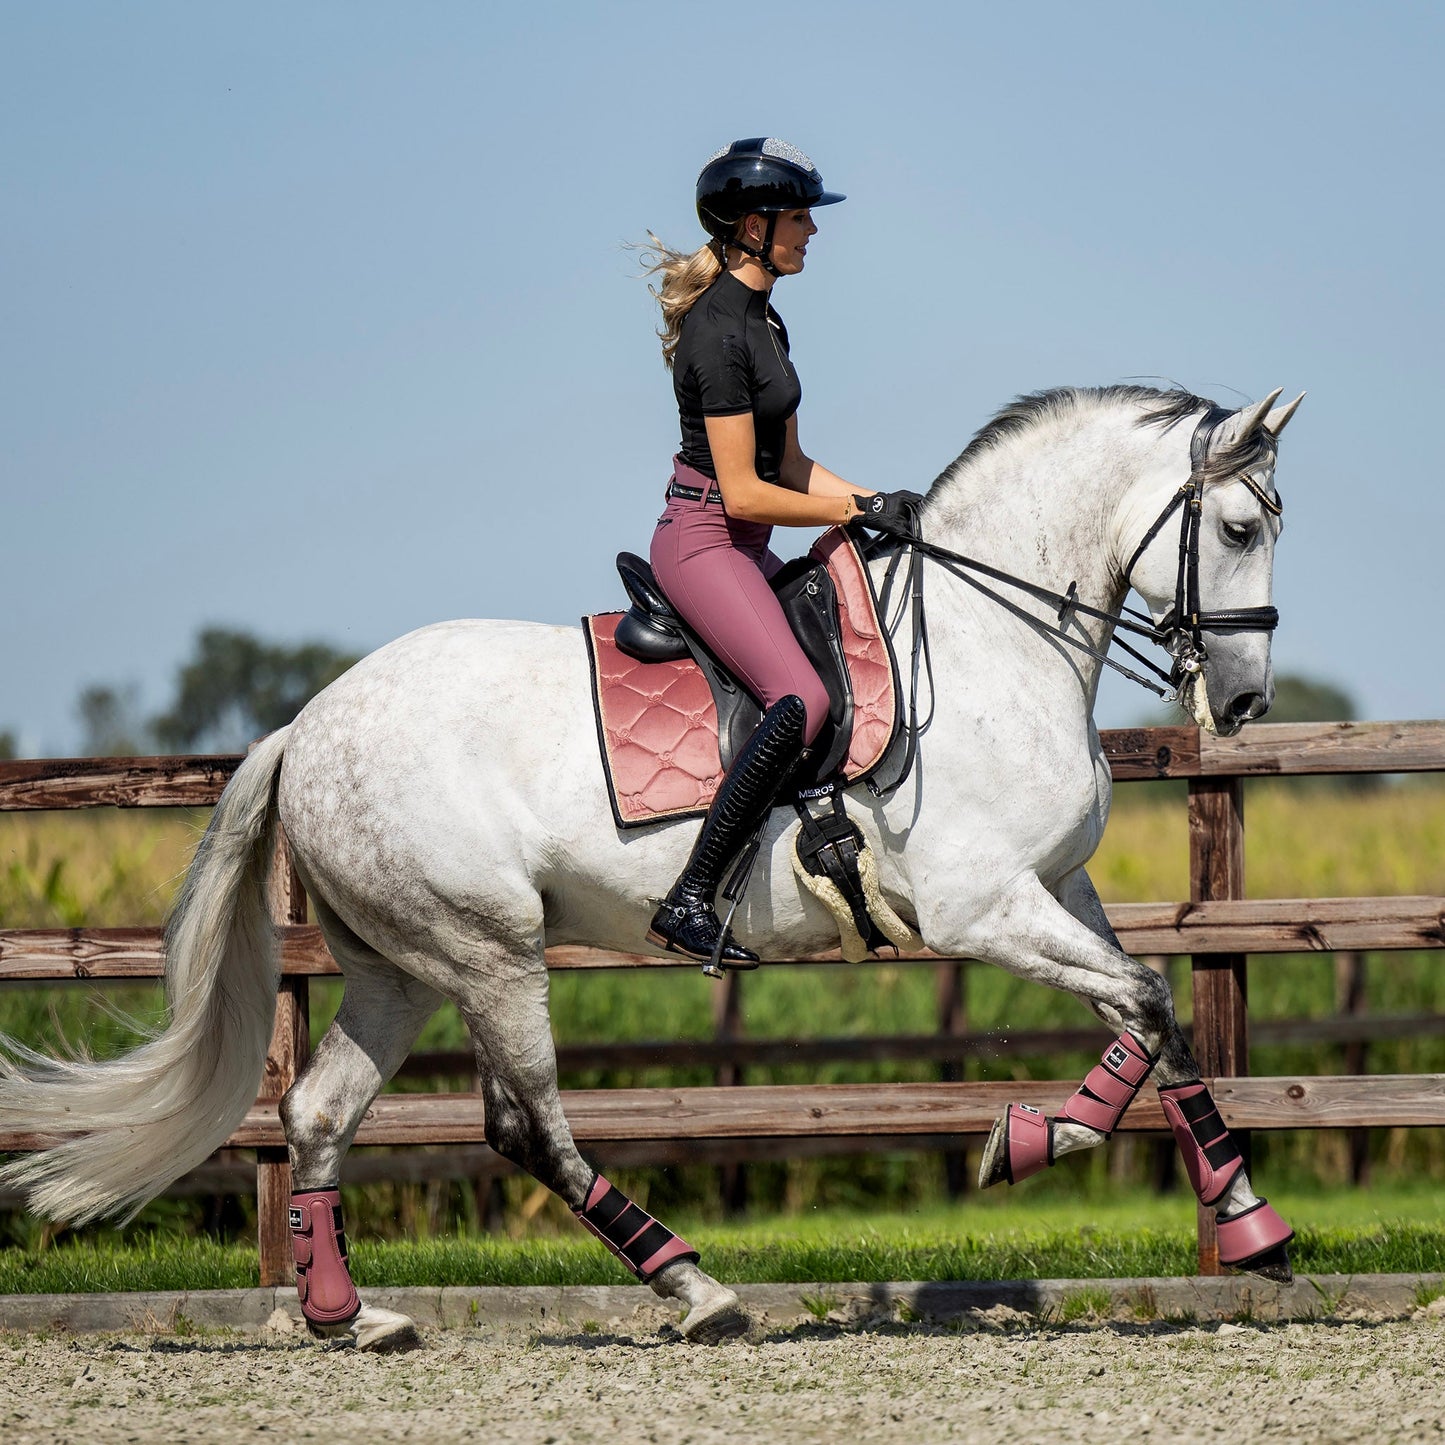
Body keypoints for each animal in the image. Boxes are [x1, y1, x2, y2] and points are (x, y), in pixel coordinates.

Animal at [0, 381, 1306, 1340]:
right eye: (1239, 528)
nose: (1243, 702)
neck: (994, 637)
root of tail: (304, 727)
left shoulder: (1057, 889)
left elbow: (1149, 1017)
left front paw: (1189, 1199)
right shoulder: (978, 905)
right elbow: (1146, 998)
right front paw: (1164, 1194)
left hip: (398, 967)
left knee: (320, 1110)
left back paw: (347, 1315)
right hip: (486, 948)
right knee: (527, 1126)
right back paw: (693, 1284)